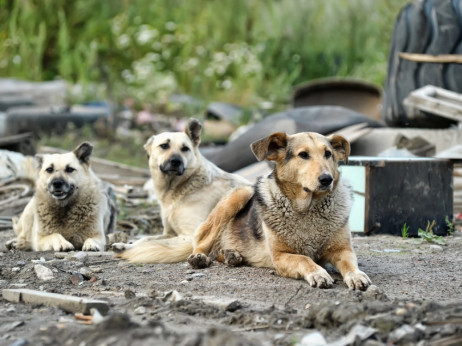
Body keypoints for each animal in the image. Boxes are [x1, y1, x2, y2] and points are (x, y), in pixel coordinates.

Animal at [114, 117, 249, 260]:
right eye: (164, 146)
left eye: (185, 148)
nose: (176, 161)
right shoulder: (169, 232)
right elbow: (147, 239)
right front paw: (125, 245)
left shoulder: (189, 236)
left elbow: (155, 243)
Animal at [188, 130, 372, 290]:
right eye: (303, 155)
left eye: (328, 154)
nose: (327, 179)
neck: (308, 209)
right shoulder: (280, 256)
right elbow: (304, 259)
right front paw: (318, 273)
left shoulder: (342, 250)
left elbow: (350, 264)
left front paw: (356, 275)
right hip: (240, 194)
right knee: (203, 241)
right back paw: (200, 257)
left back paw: (232, 255)